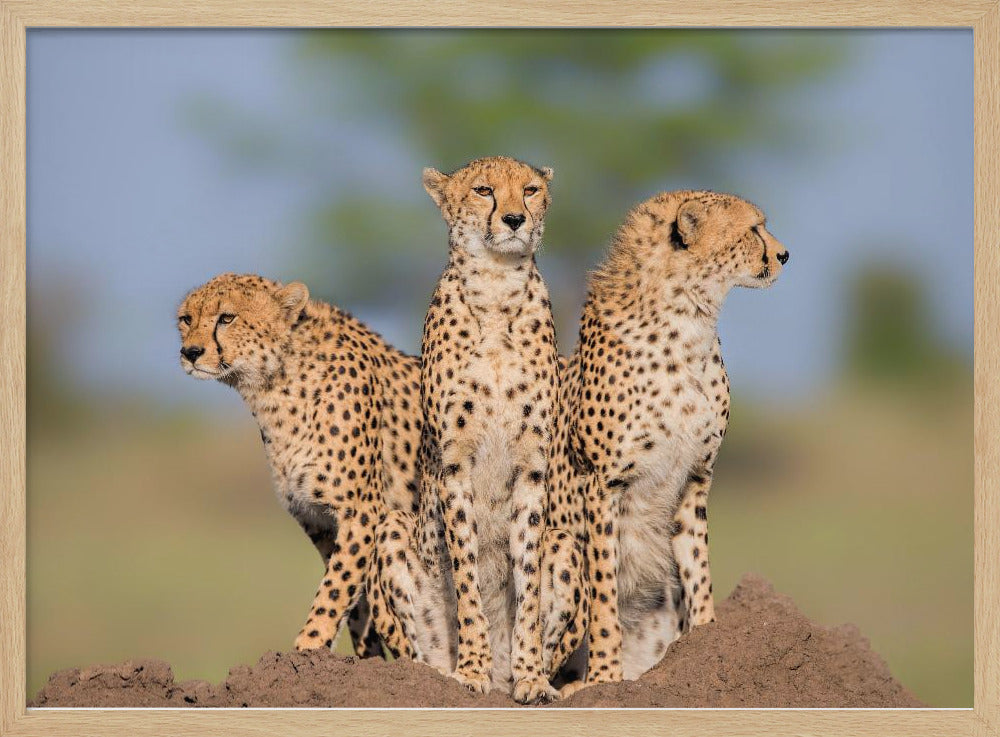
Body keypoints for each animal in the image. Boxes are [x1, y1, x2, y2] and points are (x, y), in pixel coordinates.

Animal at [550, 190, 789, 689]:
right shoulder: (603, 485)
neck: (689, 320)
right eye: (754, 228)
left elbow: (698, 569)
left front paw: (707, 641)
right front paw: (605, 677)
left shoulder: (695, 478)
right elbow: (604, 592)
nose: (784, 255)